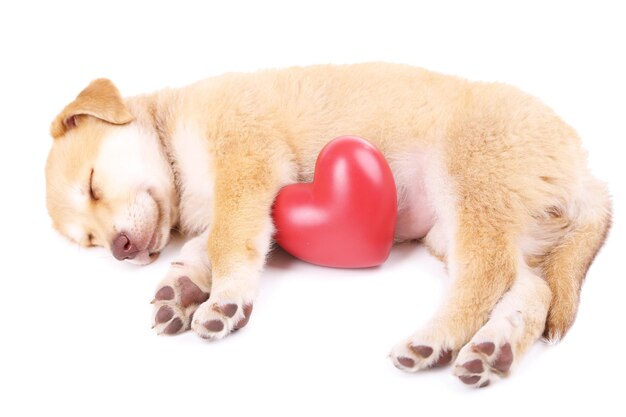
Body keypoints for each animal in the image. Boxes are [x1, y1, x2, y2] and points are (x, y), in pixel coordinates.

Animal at [45, 62, 608, 386]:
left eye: (92, 184)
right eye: (90, 241)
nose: (119, 248)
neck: (173, 132)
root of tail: (585, 171)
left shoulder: (246, 165)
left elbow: (228, 242)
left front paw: (224, 300)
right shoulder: (251, 202)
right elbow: (213, 246)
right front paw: (182, 287)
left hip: (472, 187)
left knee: (486, 276)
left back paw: (435, 340)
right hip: (473, 228)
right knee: (533, 289)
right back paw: (495, 350)